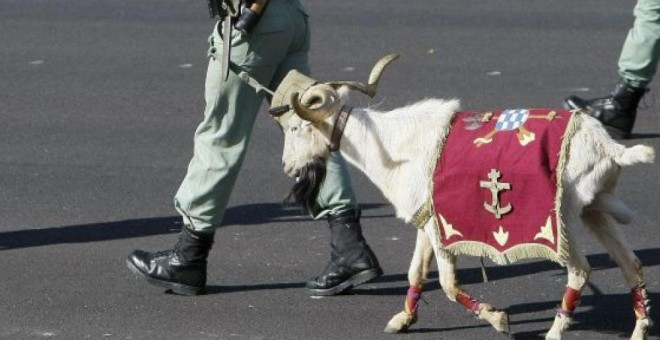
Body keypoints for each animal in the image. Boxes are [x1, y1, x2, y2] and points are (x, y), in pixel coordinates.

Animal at [272, 54, 656, 338]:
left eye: (297, 128)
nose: (287, 166)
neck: (394, 146)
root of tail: (608, 147)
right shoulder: (426, 221)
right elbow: (415, 273)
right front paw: (402, 320)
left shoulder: (442, 230)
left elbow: (447, 283)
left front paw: (498, 318)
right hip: (594, 211)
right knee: (631, 264)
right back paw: (639, 330)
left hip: (562, 220)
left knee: (580, 271)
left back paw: (554, 332)